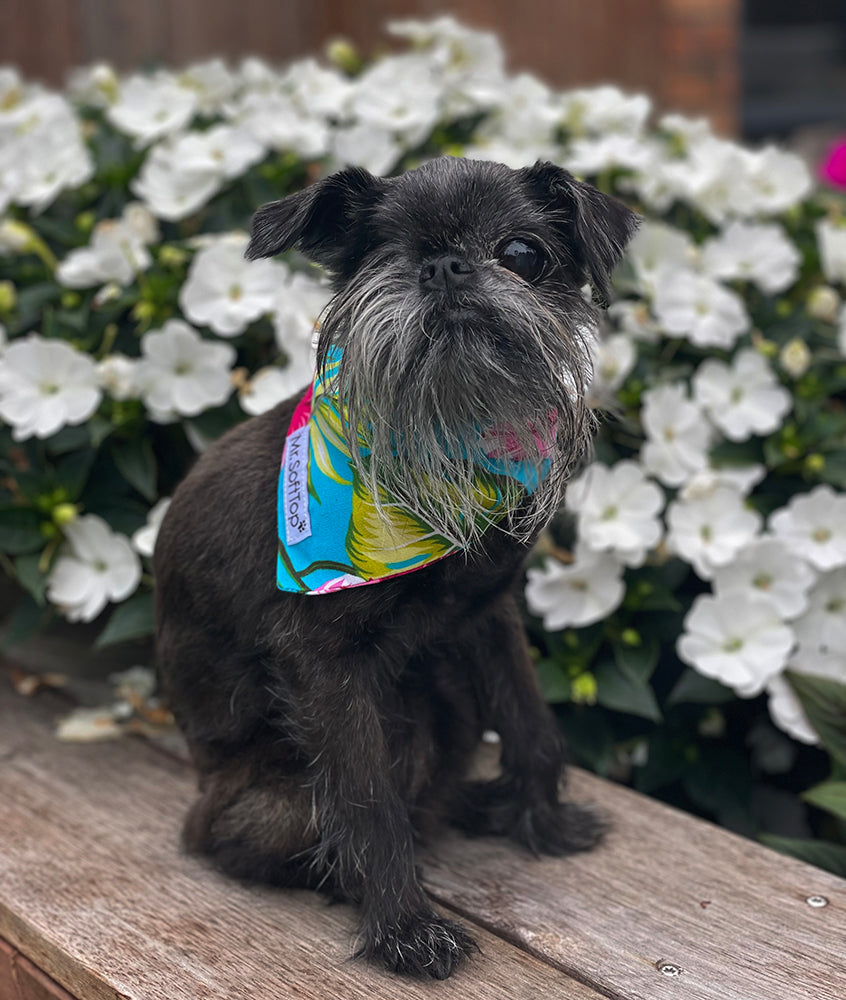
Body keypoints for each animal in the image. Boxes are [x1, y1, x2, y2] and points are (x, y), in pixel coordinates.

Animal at [156, 156, 640, 976]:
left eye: (522, 253)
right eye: (379, 255)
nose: (442, 265)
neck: (445, 451)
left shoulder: (488, 614)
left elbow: (530, 721)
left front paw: (543, 822)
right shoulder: (325, 666)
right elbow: (366, 799)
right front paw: (403, 929)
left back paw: (476, 805)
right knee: (230, 836)